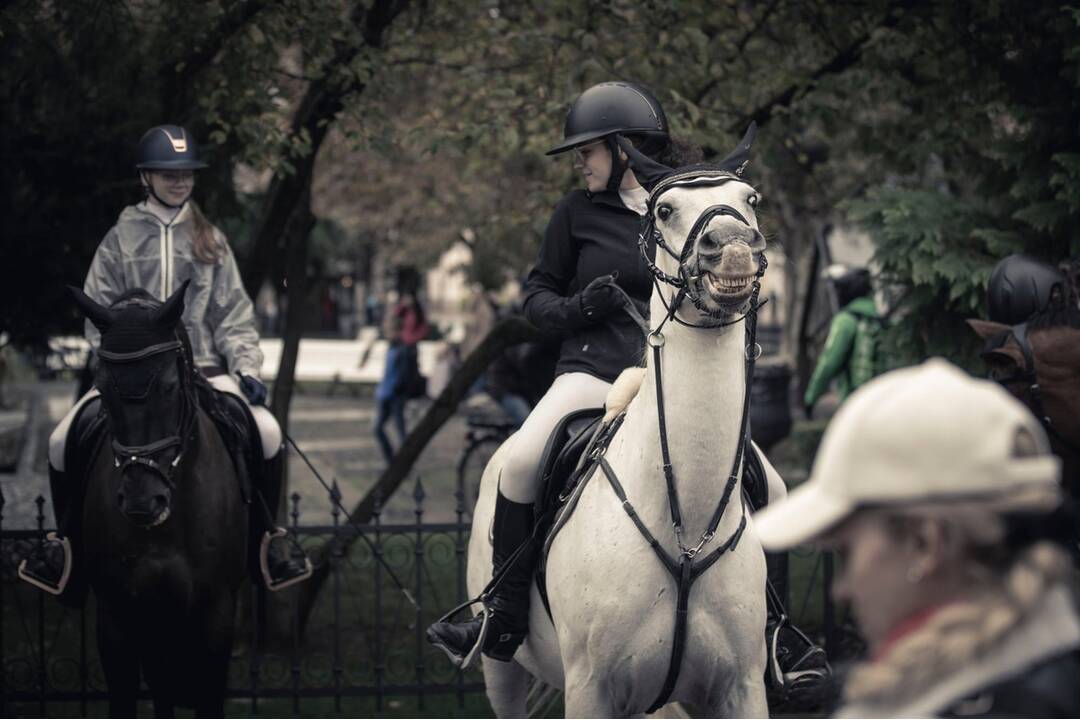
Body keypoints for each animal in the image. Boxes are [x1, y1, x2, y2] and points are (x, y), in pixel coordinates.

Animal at [468, 160, 781, 716]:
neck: (686, 535)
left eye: (751, 198)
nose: (733, 248)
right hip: (500, 669)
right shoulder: (592, 687)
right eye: (665, 209)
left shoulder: (740, 686)